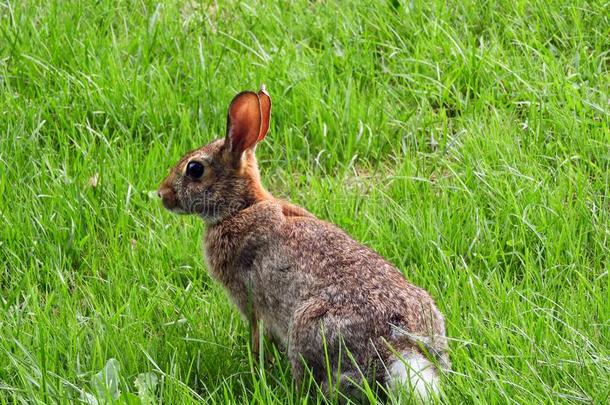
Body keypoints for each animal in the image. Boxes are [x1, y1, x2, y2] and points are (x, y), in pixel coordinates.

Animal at [159, 87, 448, 400]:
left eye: (194, 169)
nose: (162, 194)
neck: (240, 208)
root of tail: (399, 346)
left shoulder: (250, 302)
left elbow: (256, 335)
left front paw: (256, 364)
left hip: (307, 327)